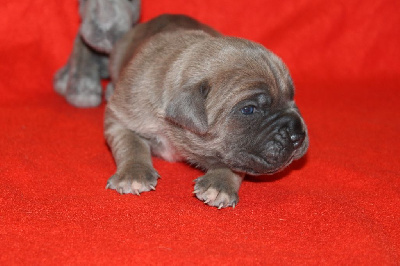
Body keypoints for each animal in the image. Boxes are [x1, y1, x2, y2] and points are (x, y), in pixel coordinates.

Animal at [104, 14, 310, 209]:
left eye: (292, 97)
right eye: (249, 109)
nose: (297, 135)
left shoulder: (237, 154)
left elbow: (233, 165)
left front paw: (219, 185)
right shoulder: (119, 117)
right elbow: (131, 143)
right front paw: (133, 174)